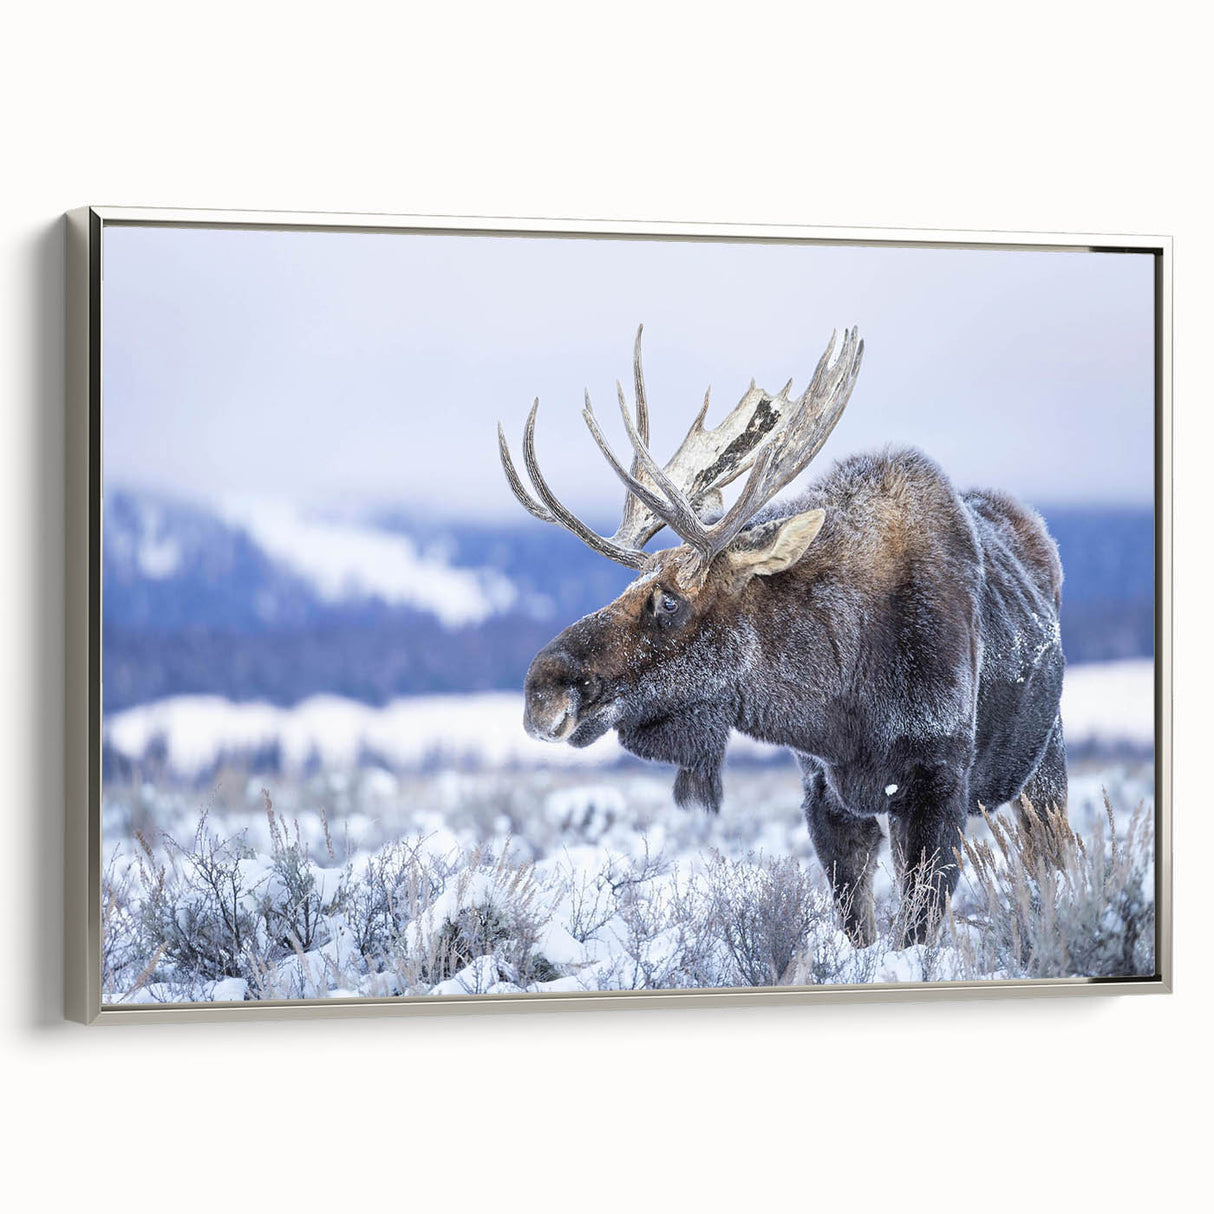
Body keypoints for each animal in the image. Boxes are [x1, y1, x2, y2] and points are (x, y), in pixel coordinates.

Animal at [498, 327, 1066, 946]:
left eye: (669, 599)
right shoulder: (823, 793)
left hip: (1046, 763)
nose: (540, 690)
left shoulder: (937, 783)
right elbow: (857, 925)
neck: (841, 705)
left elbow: (918, 928)